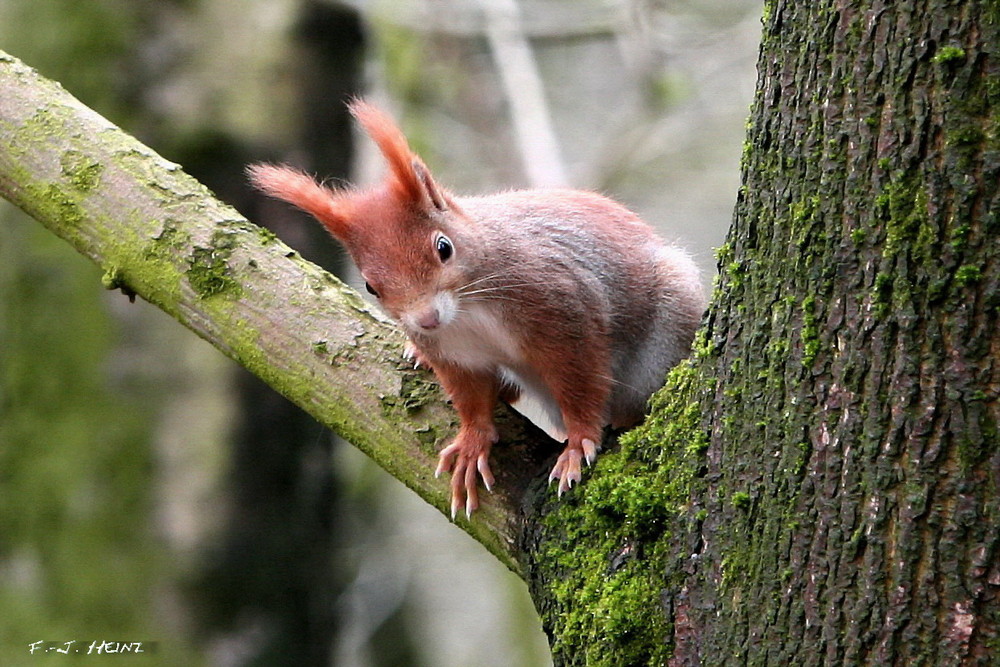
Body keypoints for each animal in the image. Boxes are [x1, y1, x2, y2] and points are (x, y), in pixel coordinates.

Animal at [248, 99, 704, 520]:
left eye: (443, 247)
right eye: (370, 286)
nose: (426, 319)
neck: (468, 308)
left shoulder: (564, 312)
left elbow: (580, 382)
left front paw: (578, 443)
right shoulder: (455, 353)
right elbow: (469, 399)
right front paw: (472, 443)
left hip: (666, 330)